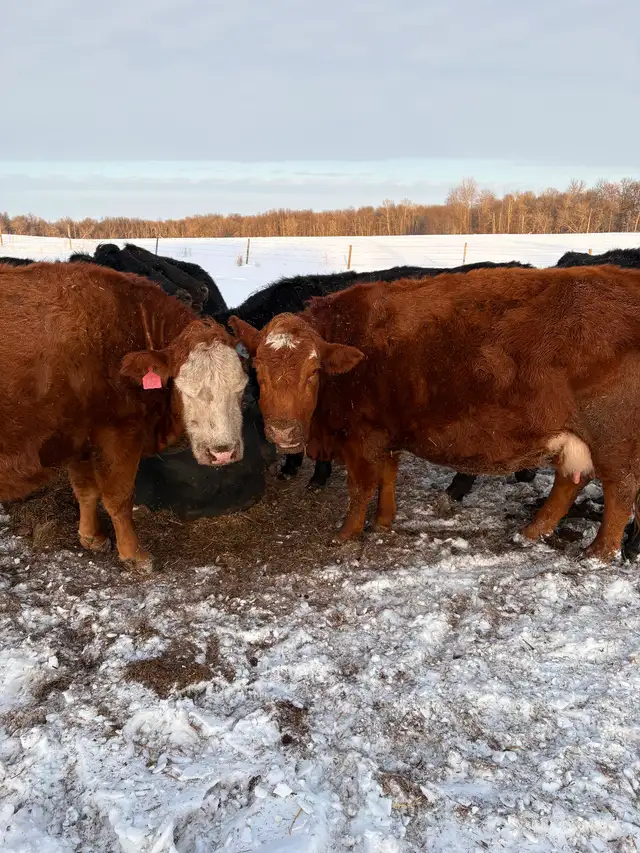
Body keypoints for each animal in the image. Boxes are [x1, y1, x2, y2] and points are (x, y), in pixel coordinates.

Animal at [0, 262, 247, 571]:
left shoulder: (80, 438)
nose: (223, 452)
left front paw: (92, 537)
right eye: (185, 388)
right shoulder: (119, 432)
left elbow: (86, 490)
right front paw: (134, 554)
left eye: (241, 387)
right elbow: (118, 497)